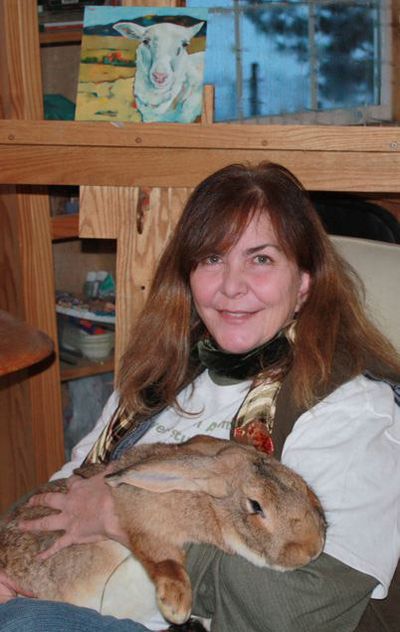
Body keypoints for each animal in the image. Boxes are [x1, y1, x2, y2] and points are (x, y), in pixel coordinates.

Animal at [0, 436, 324, 624]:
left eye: (298, 482)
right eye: (256, 506)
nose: (314, 548)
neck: (204, 501)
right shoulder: (140, 520)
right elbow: (163, 558)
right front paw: (176, 605)